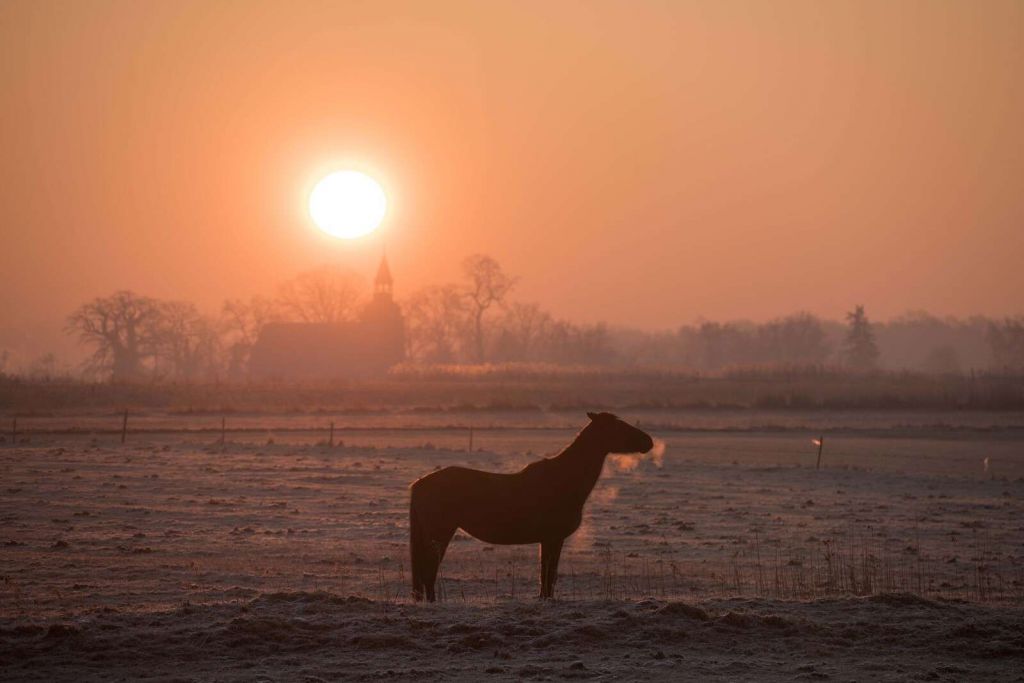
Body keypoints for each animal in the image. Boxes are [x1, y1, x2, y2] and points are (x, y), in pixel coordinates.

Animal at [408, 412, 654, 601]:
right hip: (440, 534)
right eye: (618, 426)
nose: (649, 441)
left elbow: (547, 574)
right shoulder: (553, 538)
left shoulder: (549, 539)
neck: (564, 479)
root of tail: (420, 483)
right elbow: (548, 573)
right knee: (429, 570)